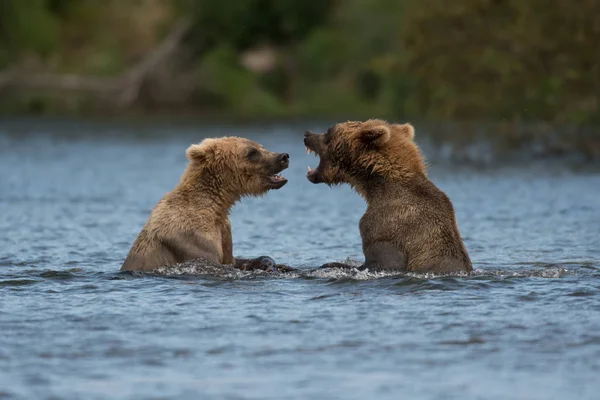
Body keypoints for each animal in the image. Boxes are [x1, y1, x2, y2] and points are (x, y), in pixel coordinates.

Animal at [120, 137, 290, 272]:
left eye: (262, 146)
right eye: (252, 152)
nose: (283, 156)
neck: (217, 206)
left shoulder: (224, 231)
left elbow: (233, 260)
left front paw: (271, 263)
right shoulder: (193, 238)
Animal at [304, 119, 474, 276]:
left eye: (329, 130)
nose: (307, 134)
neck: (378, 187)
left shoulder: (387, 229)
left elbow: (381, 261)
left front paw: (330, 264)